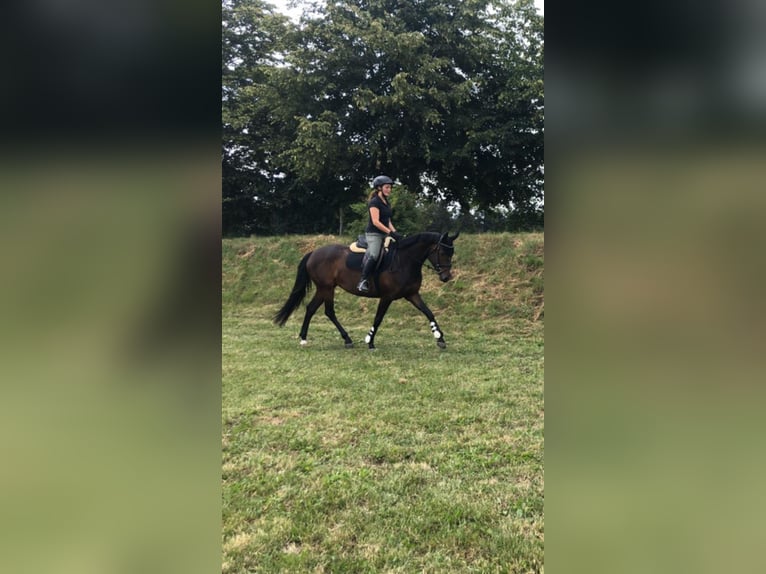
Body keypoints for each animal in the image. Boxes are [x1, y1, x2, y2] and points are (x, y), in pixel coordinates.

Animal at [274, 233, 460, 352]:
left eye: (452, 252)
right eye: (443, 252)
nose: (446, 277)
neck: (404, 261)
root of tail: (314, 253)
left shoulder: (412, 294)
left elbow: (428, 312)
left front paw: (440, 338)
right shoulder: (387, 297)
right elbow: (378, 319)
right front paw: (370, 342)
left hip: (324, 288)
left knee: (311, 308)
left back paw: (304, 338)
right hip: (326, 288)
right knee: (329, 311)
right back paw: (346, 339)